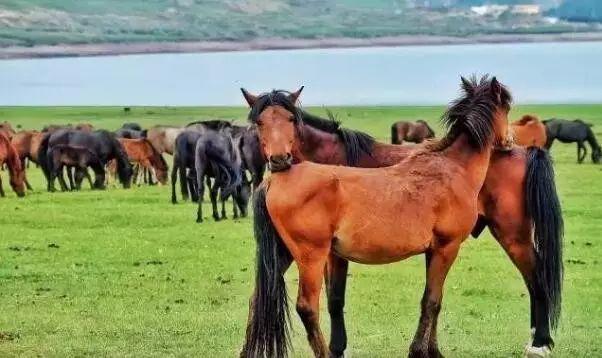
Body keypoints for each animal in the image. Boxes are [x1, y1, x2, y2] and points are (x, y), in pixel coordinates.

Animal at [238, 78, 564, 358]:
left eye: (291, 120)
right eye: (259, 122)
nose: (507, 140)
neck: (452, 166)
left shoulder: (433, 250)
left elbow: (433, 301)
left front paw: (432, 350)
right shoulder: (445, 247)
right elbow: (430, 301)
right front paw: (419, 350)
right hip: (309, 256)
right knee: (306, 307)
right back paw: (539, 342)